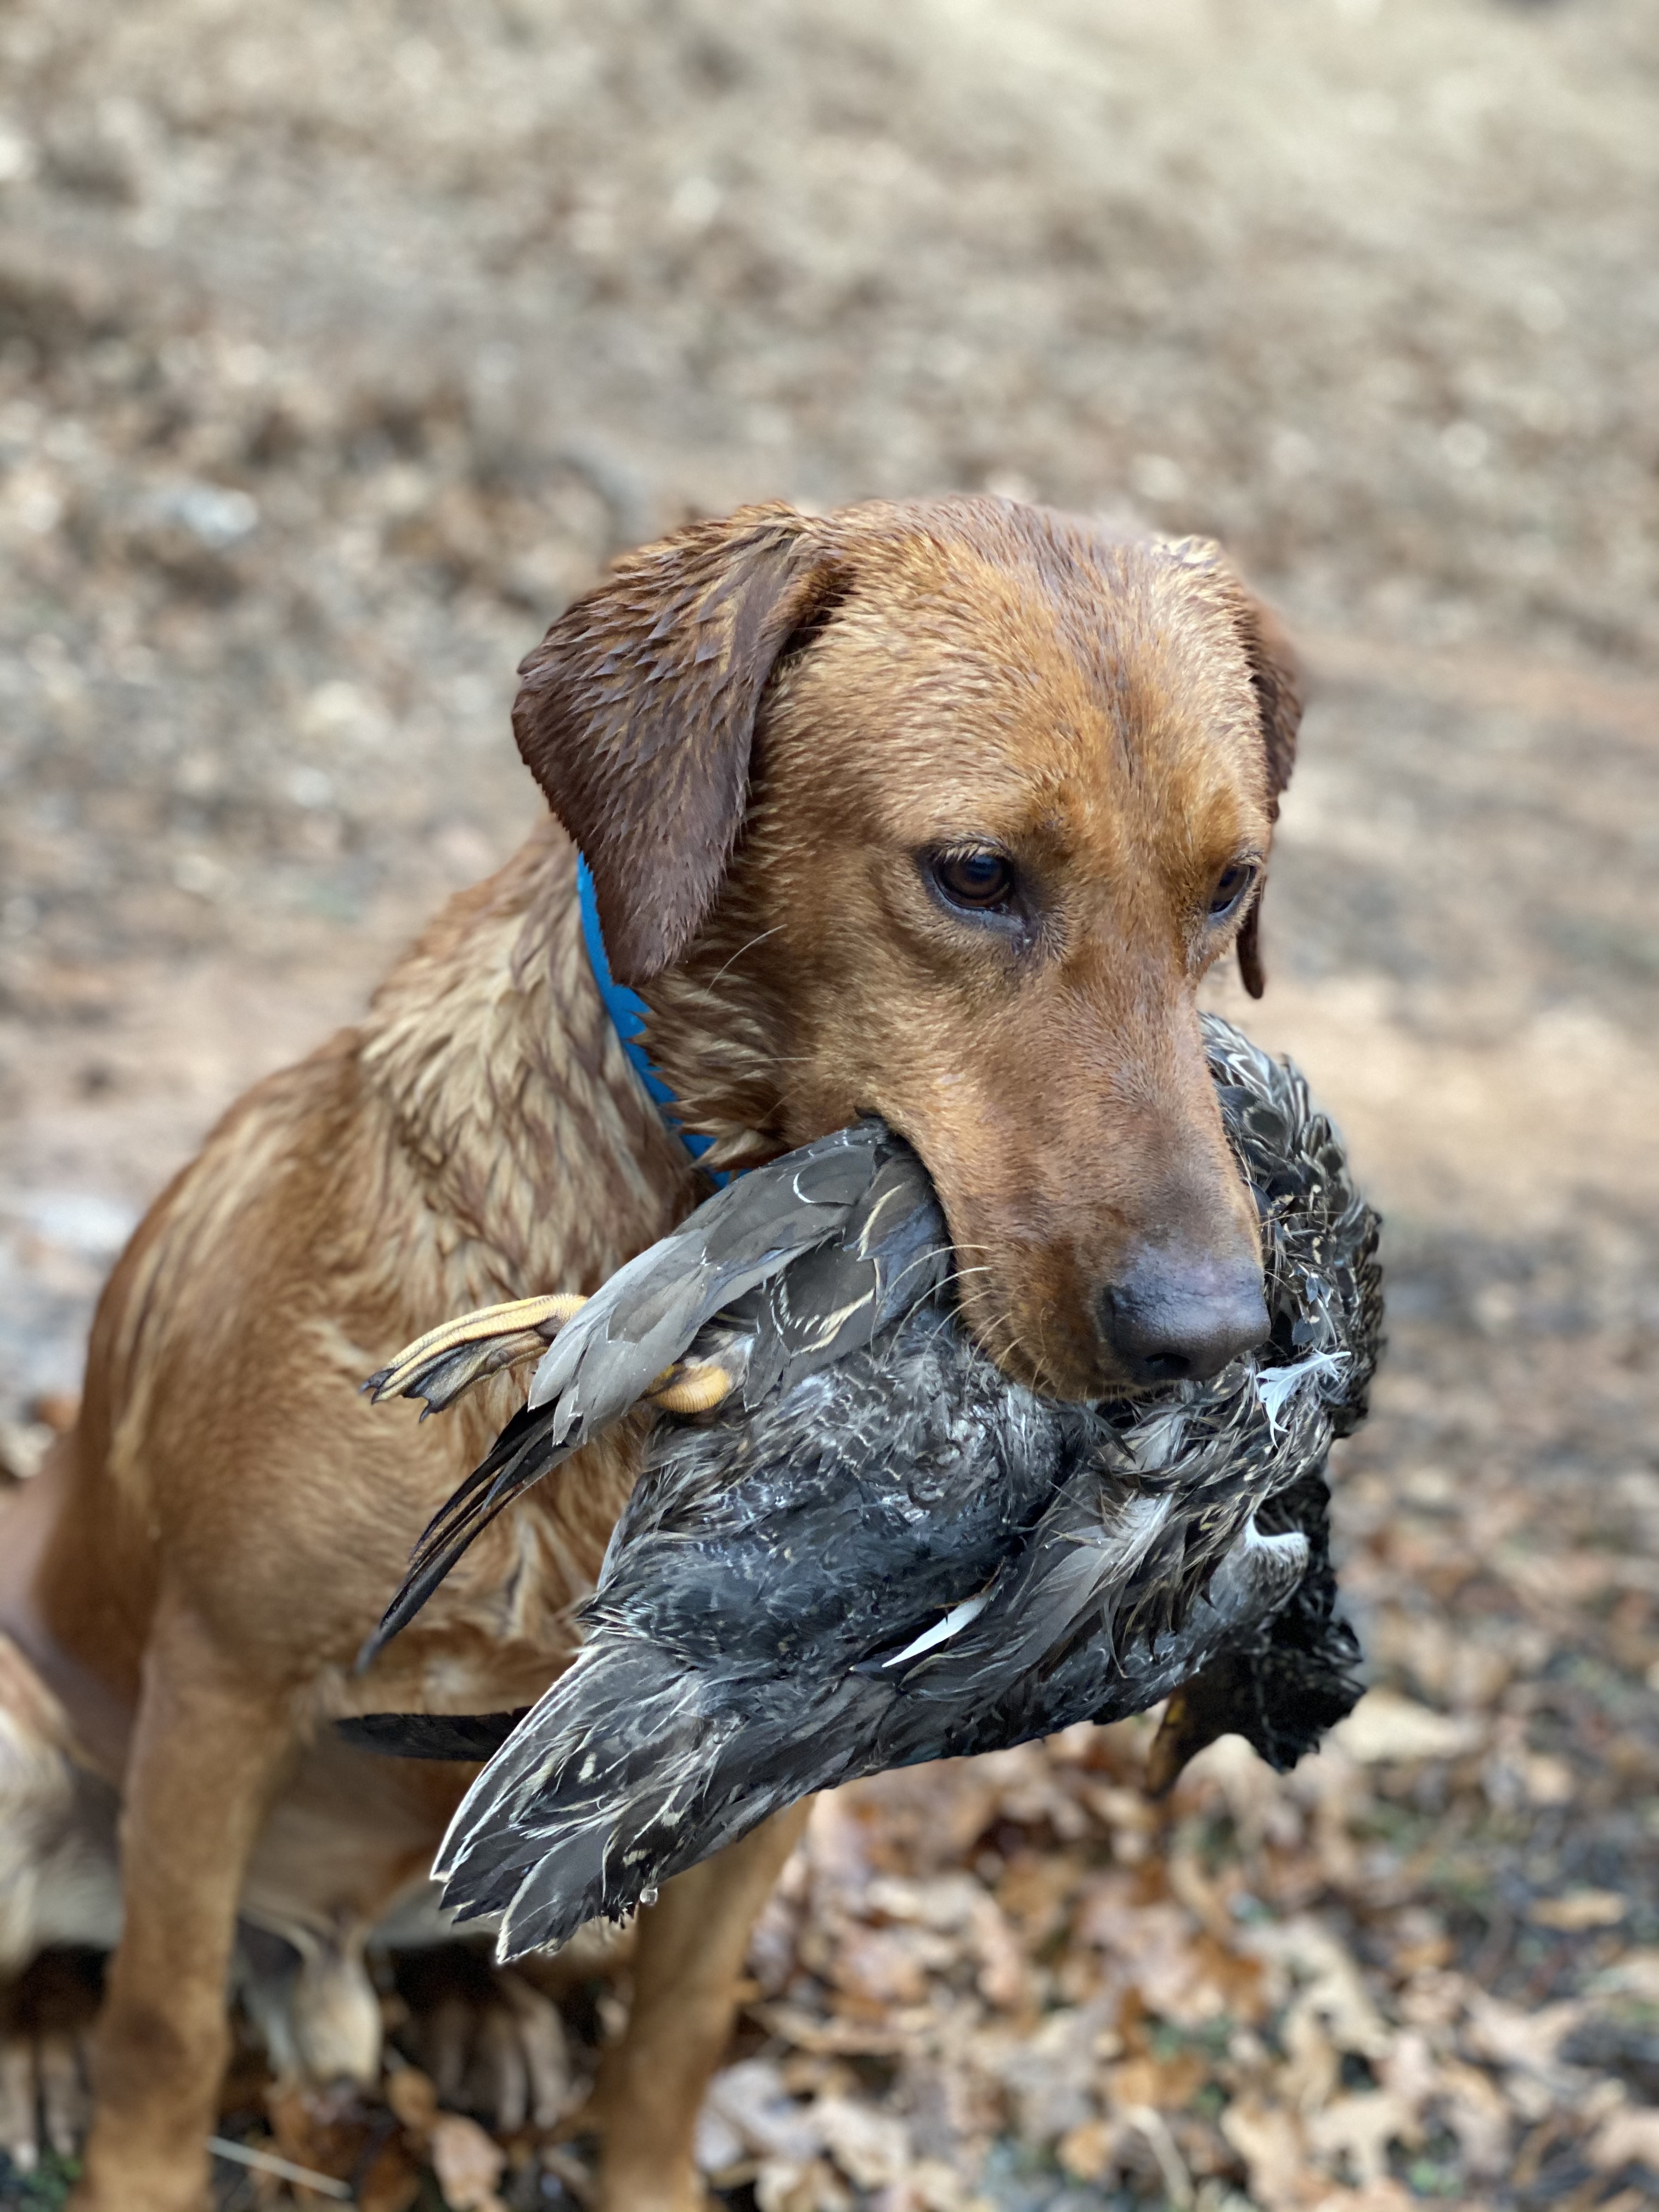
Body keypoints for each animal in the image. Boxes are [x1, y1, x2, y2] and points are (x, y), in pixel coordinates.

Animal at [0, 493, 1300, 2203]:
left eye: (1229, 885)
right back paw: (36, 2045)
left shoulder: (765, 1770)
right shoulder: (218, 1689)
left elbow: (675, 2037)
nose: (1216, 1338)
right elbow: (162, 2027)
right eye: (974, 874)